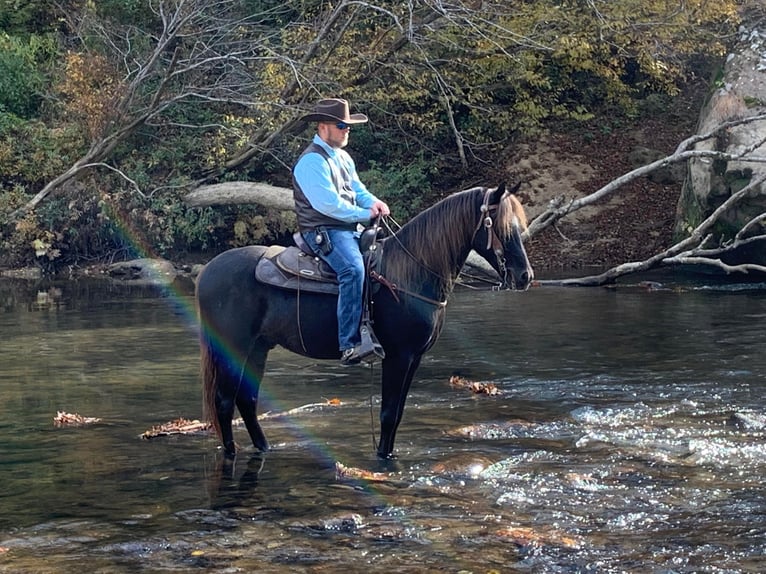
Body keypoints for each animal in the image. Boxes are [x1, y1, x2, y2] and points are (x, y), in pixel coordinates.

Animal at [196, 182, 536, 462]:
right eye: (500, 226)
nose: (525, 276)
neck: (409, 273)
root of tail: (207, 271)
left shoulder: (414, 358)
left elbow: (397, 413)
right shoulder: (398, 356)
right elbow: (388, 414)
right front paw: (383, 459)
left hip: (258, 348)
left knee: (247, 400)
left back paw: (264, 448)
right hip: (234, 347)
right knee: (224, 402)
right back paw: (231, 453)